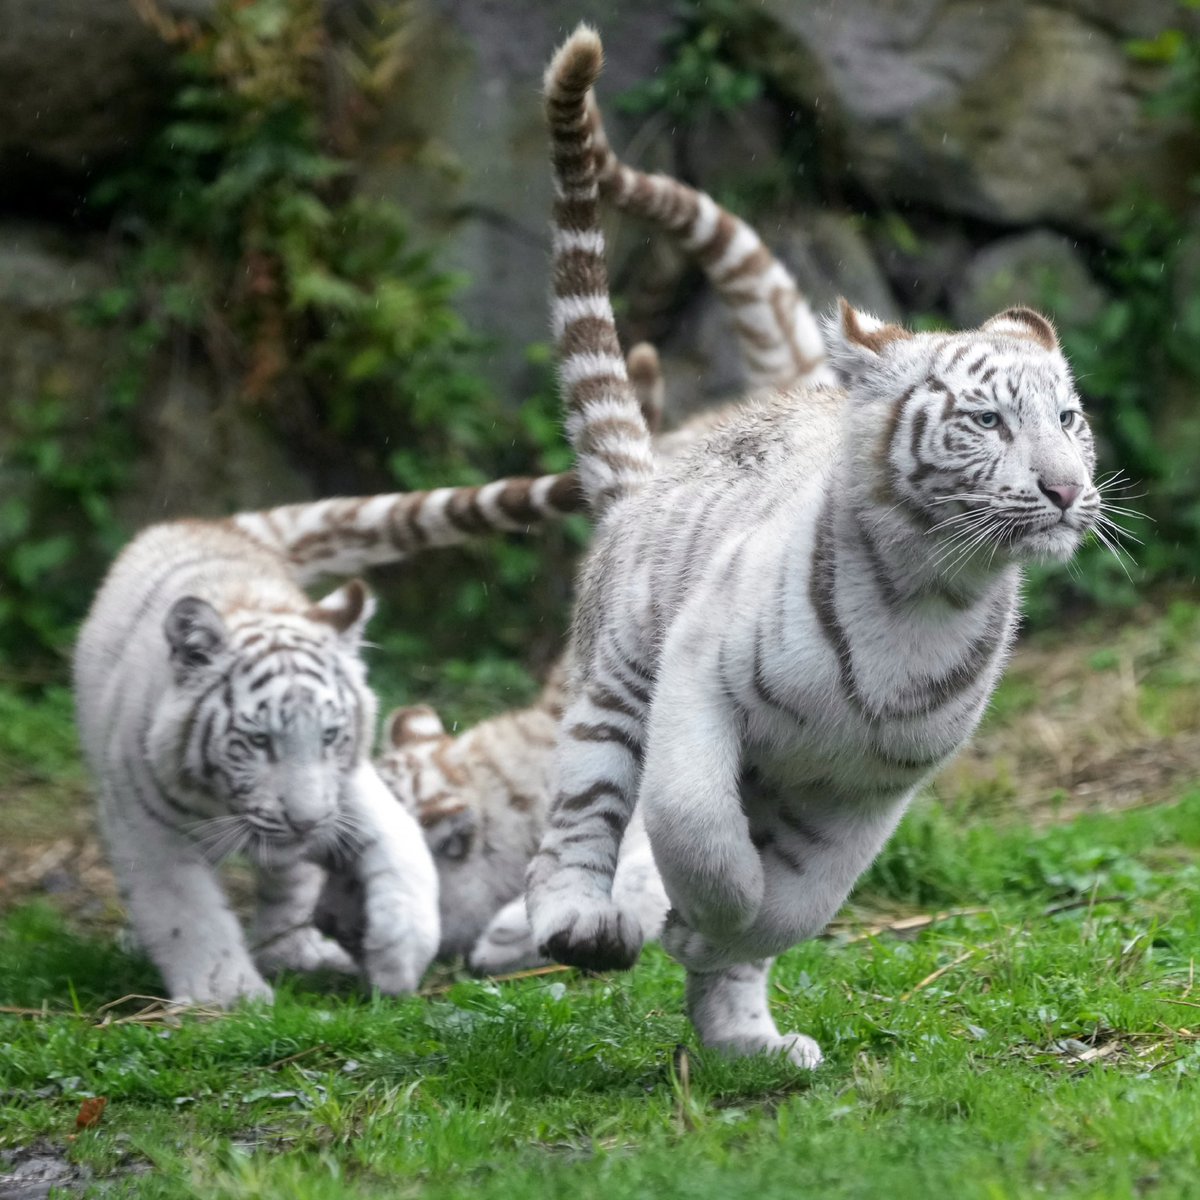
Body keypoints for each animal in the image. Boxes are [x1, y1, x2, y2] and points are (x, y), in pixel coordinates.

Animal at [73, 468, 580, 1003]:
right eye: (258, 741)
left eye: (331, 735)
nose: (306, 824)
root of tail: (210, 526)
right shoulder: (144, 823)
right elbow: (185, 912)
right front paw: (228, 995)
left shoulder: (351, 783)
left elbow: (404, 853)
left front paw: (398, 960)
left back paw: (296, 952)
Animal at [520, 28, 1099, 1070]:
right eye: (989, 421)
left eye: (1068, 419)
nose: (1067, 489)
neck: (927, 591)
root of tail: (649, 475)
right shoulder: (696, 684)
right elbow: (701, 835)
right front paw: (690, 916)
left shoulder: (873, 785)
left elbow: (796, 906)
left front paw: (711, 940)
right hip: (615, 684)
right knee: (580, 813)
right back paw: (580, 922)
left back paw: (747, 1044)